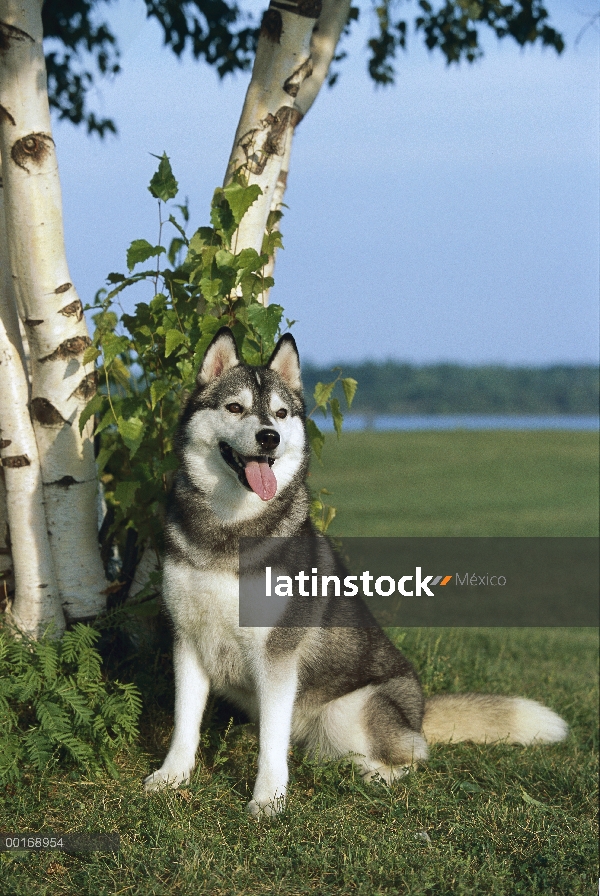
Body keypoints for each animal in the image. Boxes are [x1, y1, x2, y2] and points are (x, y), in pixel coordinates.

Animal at [144, 328, 568, 812]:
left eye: (280, 413)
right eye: (235, 407)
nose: (269, 437)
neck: (231, 528)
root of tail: (419, 710)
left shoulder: (276, 655)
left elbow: (271, 741)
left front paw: (268, 800)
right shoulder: (188, 639)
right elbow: (185, 723)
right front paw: (172, 776)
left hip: (350, 711)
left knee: (411, 757)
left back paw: (368, 775)